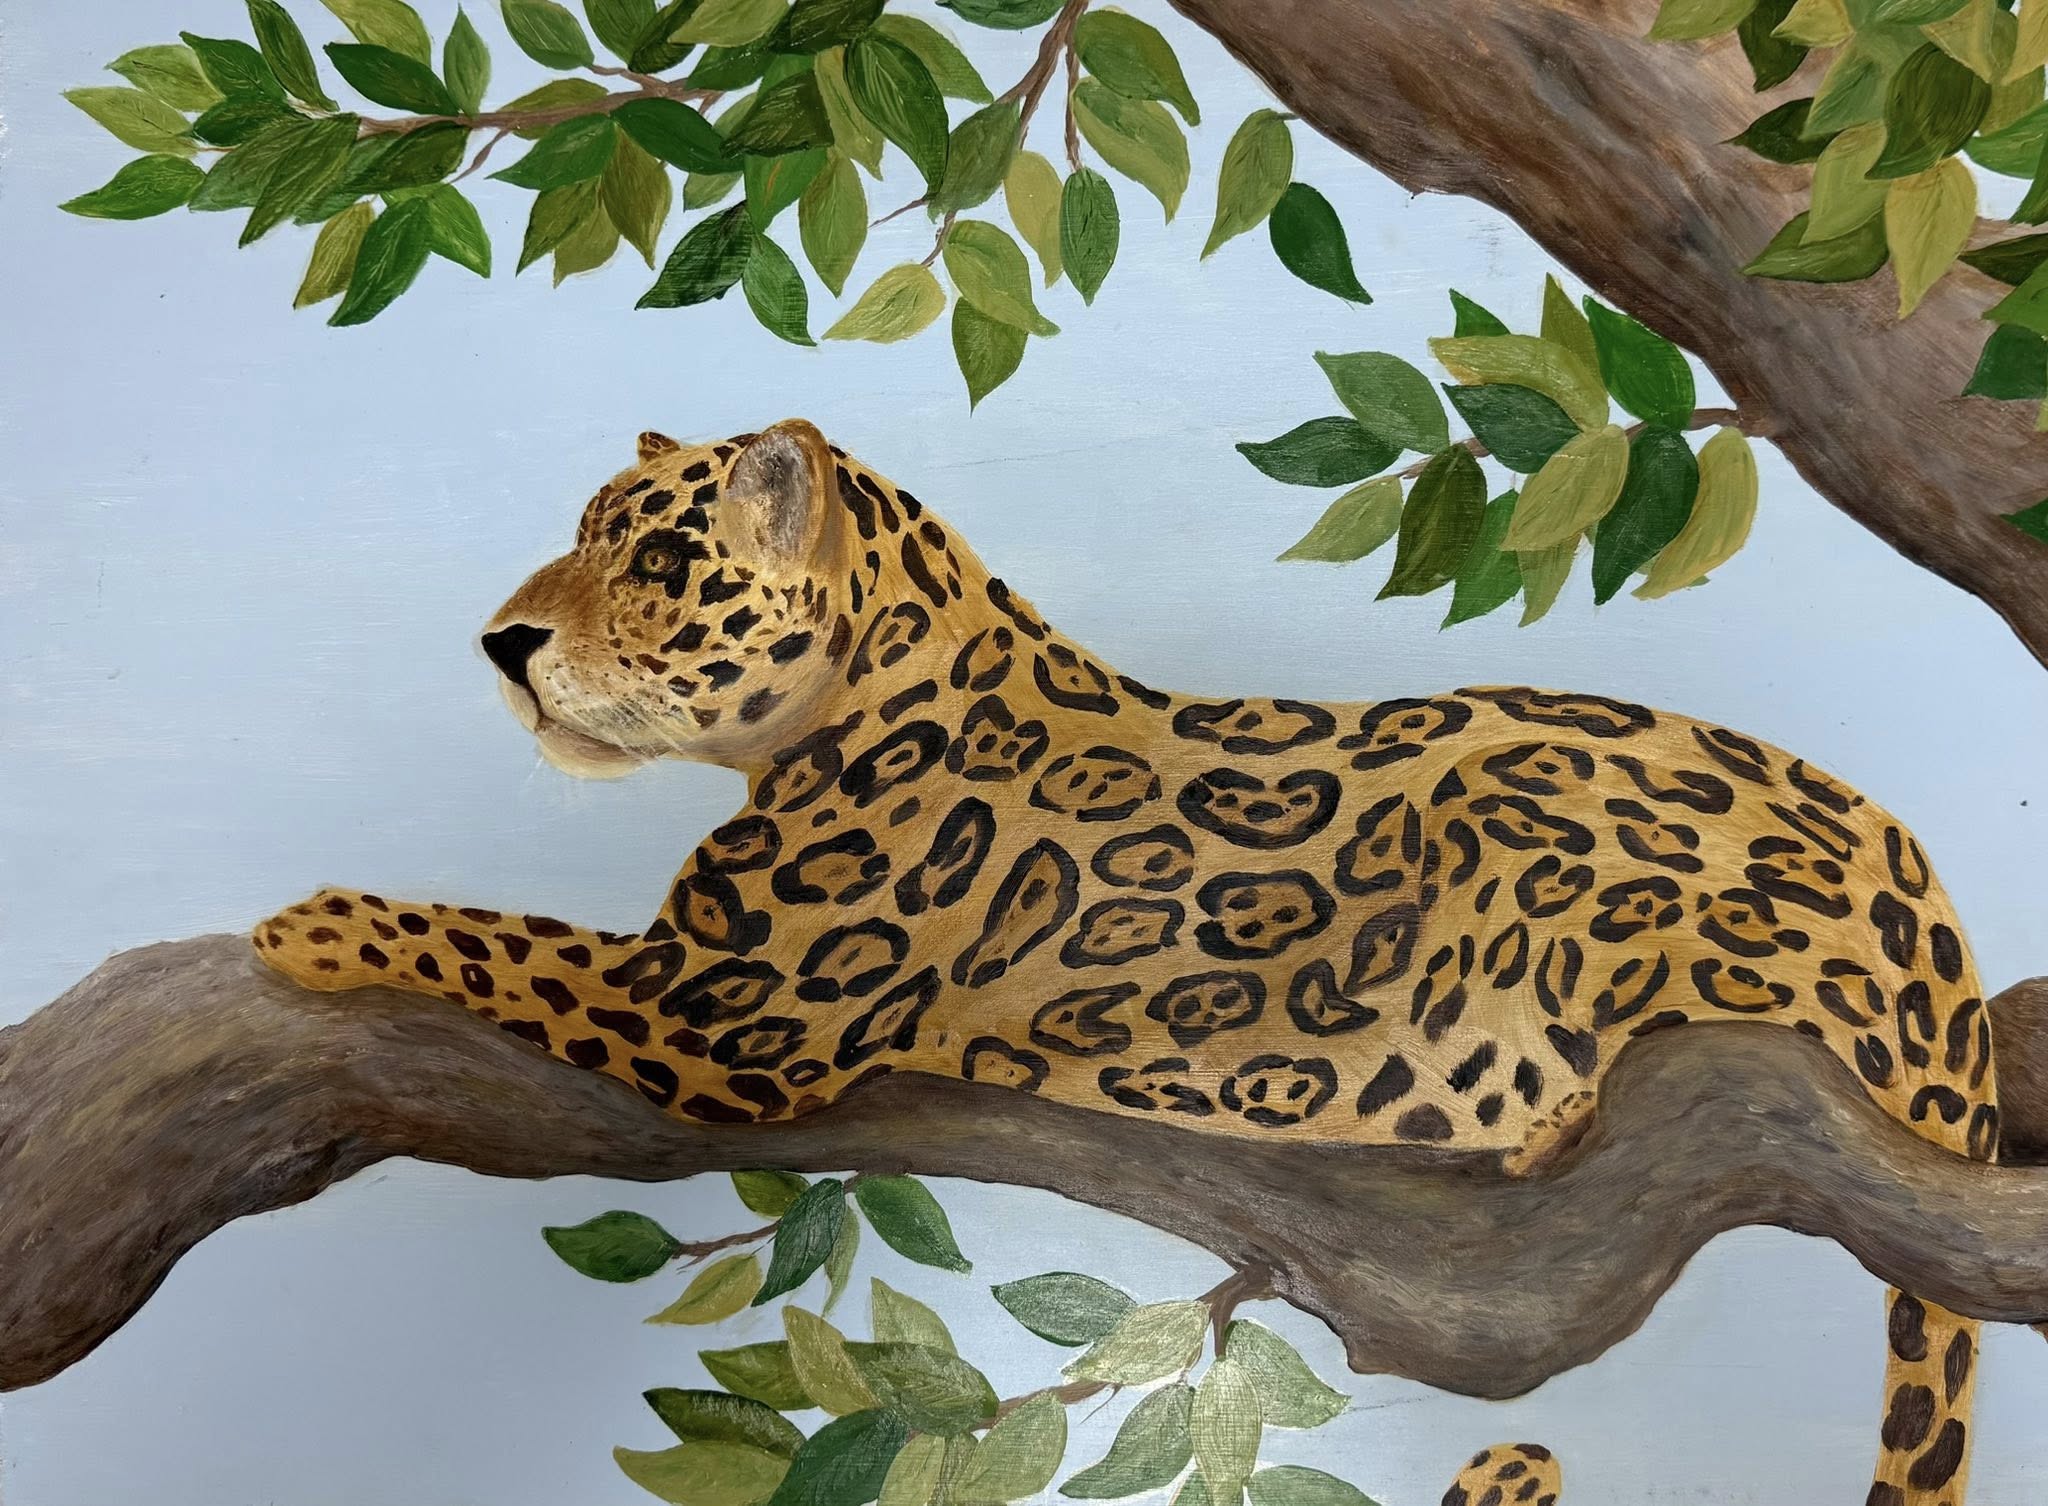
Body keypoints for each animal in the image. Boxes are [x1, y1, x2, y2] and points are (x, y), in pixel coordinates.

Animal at [259, 420, 1994, 1506]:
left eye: (657, 565)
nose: (500, 645)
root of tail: (1912, 878)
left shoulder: (722, 1011)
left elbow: (495, 935)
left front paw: (310, 923)